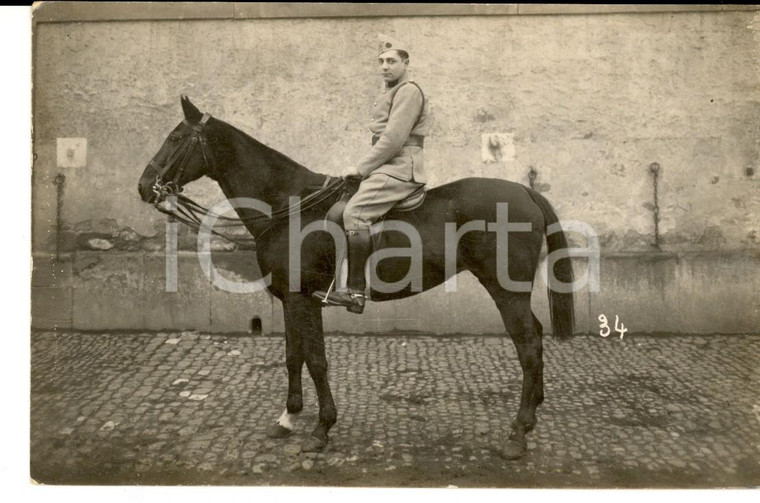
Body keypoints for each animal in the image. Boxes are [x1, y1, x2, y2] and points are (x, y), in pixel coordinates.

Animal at [138, 96, 576, 462]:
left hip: (506, 291)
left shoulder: (303, 299)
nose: (144, 187)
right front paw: (287, 418)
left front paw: (321, 429)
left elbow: (316, 361)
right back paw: (534, 410)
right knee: (535, 338)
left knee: (528, 346)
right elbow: (293, 356)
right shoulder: (291, 300)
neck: (290, 206)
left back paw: (518, 434)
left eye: (175, 138)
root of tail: (525, 191)